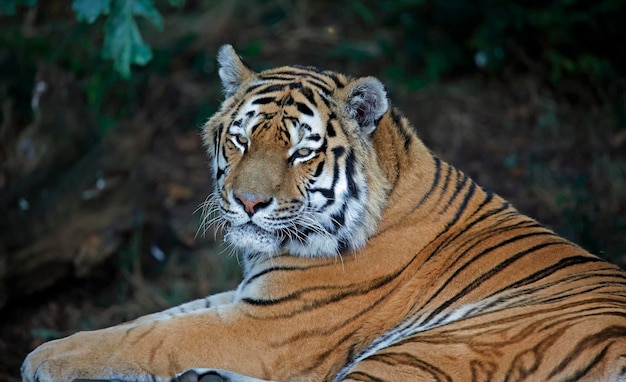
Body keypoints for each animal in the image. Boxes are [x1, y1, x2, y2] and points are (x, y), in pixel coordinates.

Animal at [22, 44, 624, 382]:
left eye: (300, 152)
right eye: (240, 140)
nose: (248, 203)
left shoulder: (266, 326)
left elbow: (145, 339)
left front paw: (40, 359)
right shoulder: (250, 299)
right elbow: (148, 320)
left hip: (434, 349)